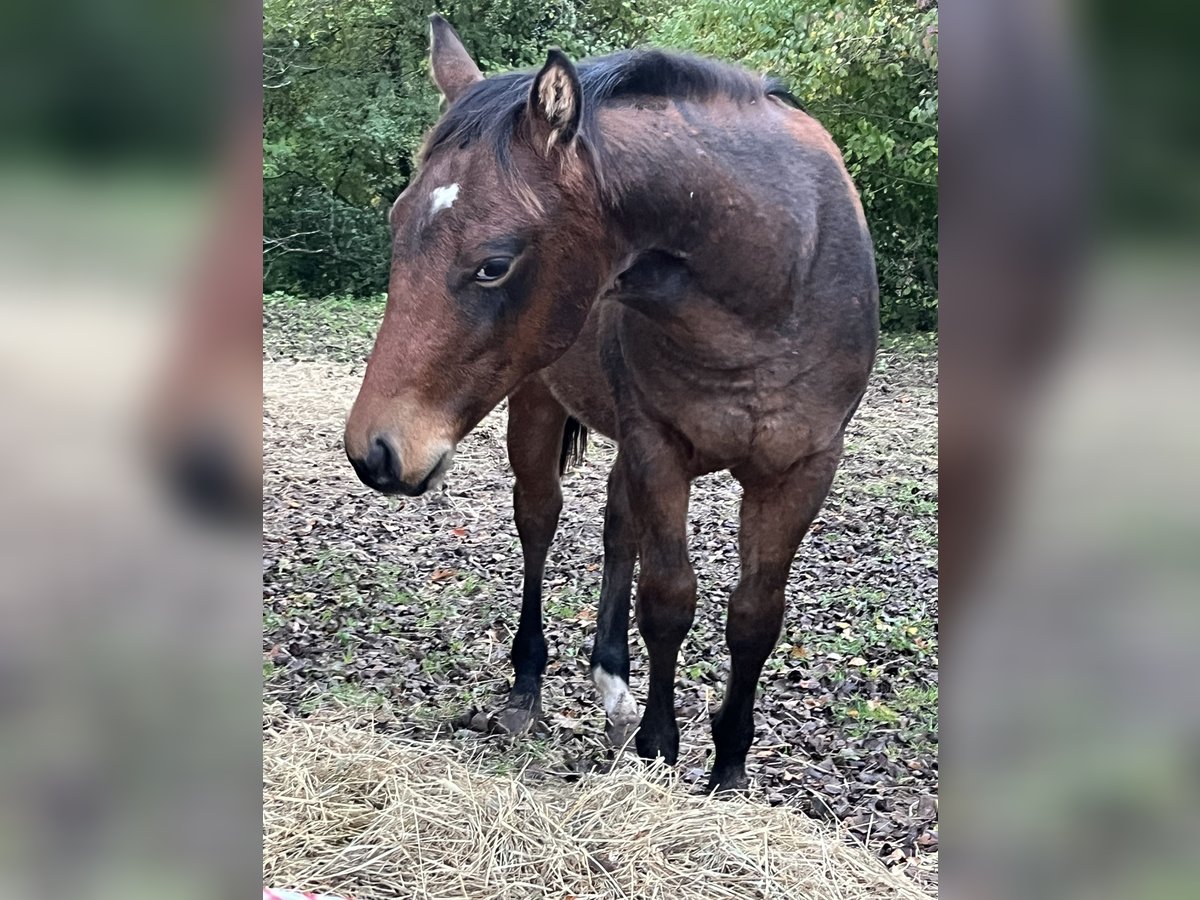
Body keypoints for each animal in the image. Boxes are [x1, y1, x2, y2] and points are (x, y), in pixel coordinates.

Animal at [343, 15, 878, 796]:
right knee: (540, 520)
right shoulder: (659, 444)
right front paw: (660, 747)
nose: (375, 451)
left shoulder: (802, 466)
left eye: (494, 264)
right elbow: (669, 598)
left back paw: (612, 683)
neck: (768, 286)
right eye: (396, 221)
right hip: (538, 405)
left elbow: (754, 615)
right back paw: (529, 688)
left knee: (617, 525)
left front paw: (728, 766)